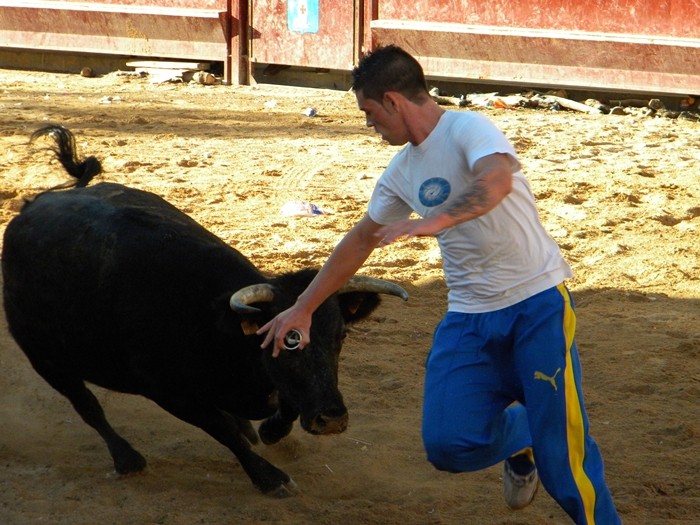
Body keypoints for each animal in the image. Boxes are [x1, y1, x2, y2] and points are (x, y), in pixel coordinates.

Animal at [0, 126, 408, 496]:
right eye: (287, 341)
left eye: (341, 336)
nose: (332, 419)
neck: (217, 328)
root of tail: (34, 206)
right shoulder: (169, 393)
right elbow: (221, 430)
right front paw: (270, 478)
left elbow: (284, 406)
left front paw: (267, 430)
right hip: (45, 358)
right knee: (87, 407)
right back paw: (126, 459)